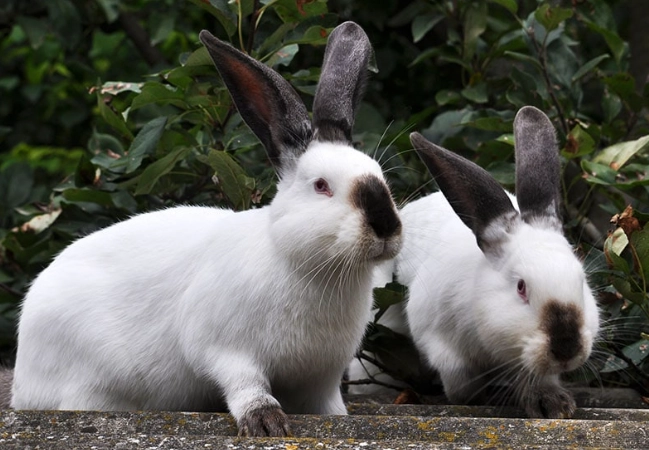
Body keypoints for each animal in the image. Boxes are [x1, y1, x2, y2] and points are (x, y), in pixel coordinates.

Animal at [10, 21, 402, 437]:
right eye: (322, 186)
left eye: (381, 177)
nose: (386, 226)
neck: (311, 267)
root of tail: (22, 380)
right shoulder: (224, 349)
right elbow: (245, 385)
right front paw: (266, 423)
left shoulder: (321, 379)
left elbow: (328, 407)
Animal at [395, 106, 600, 418]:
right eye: (521, 287)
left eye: (582, 281)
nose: (567, 347)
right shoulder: (440, 342)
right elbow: (460, 383)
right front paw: (477, 398)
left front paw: (552, 404)